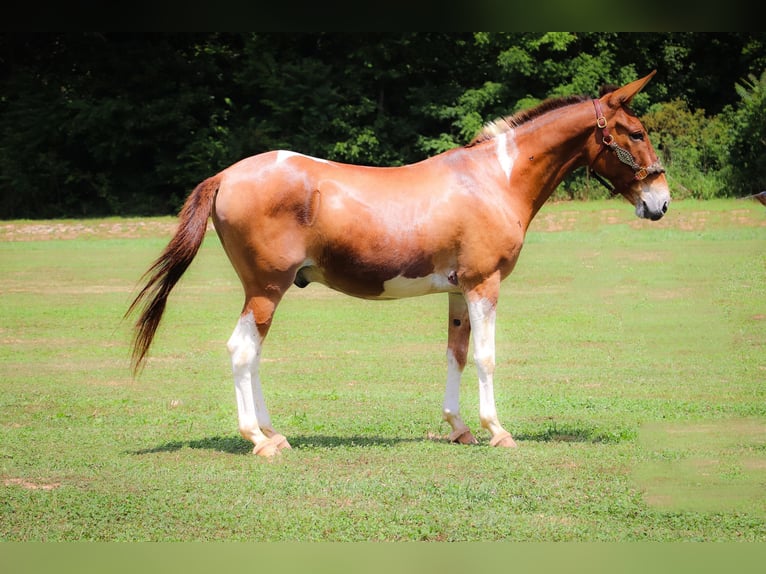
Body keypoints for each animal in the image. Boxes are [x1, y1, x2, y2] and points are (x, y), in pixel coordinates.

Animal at [127, 71, 672, 460]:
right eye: (636, 132)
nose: (660, 202)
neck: (493, 179)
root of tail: (225, 175)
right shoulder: (484, 284)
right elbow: (486, 357)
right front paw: (498, 431)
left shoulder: (458, 290)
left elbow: (456, 354)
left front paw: (460, 428)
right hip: (265, 288)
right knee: (243, 351)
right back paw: (259, 440)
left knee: (251, 354)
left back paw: (274, 434)